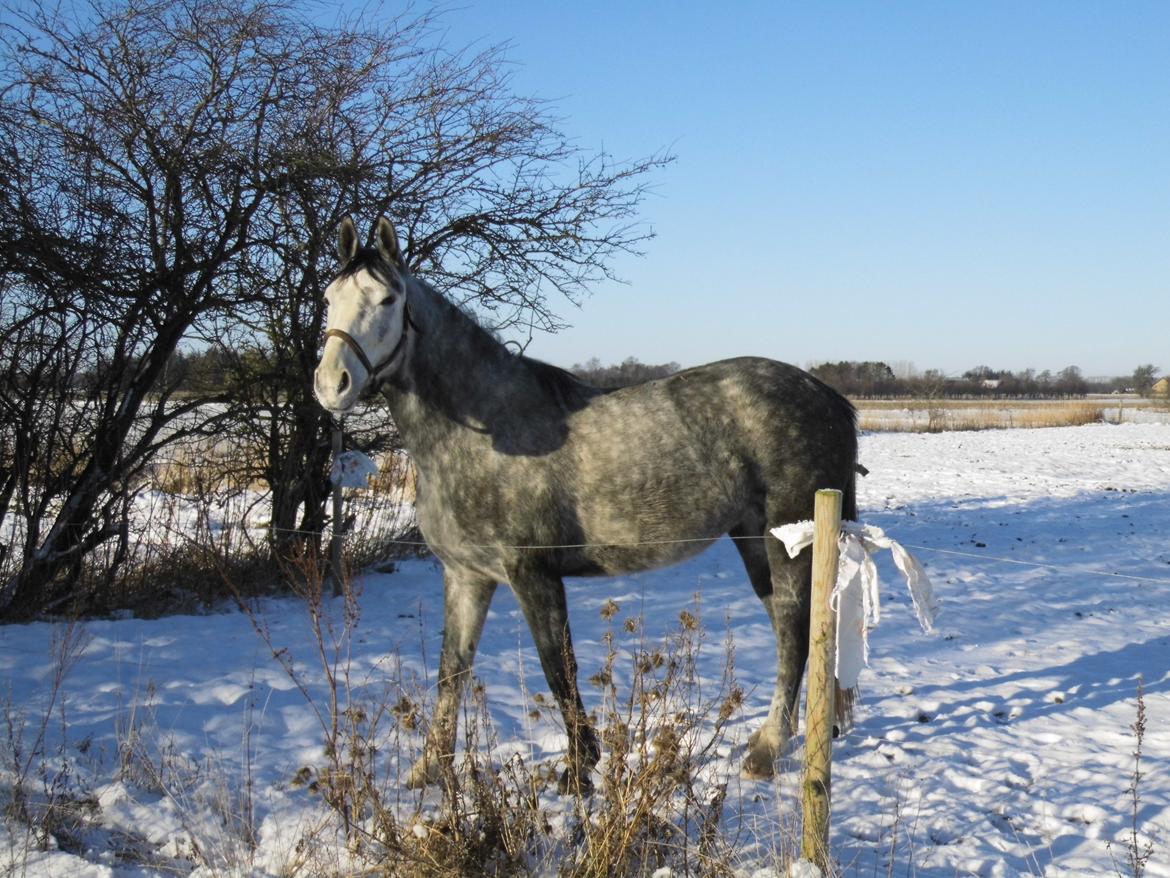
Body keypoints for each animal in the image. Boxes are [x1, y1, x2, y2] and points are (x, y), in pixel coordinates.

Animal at [313, 216, 861, 796]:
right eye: (329, 297)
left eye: (387, 299)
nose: (331, 385)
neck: (483, 434)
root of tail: (830, 398)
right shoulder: (466, 576)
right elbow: (452, 670)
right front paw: (430, 768)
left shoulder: (532, 573)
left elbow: (559, 667)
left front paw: (579, 770)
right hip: (753, 539)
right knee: (792, 628)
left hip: (786, 542)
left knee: (794, 632)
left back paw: (766, 749)